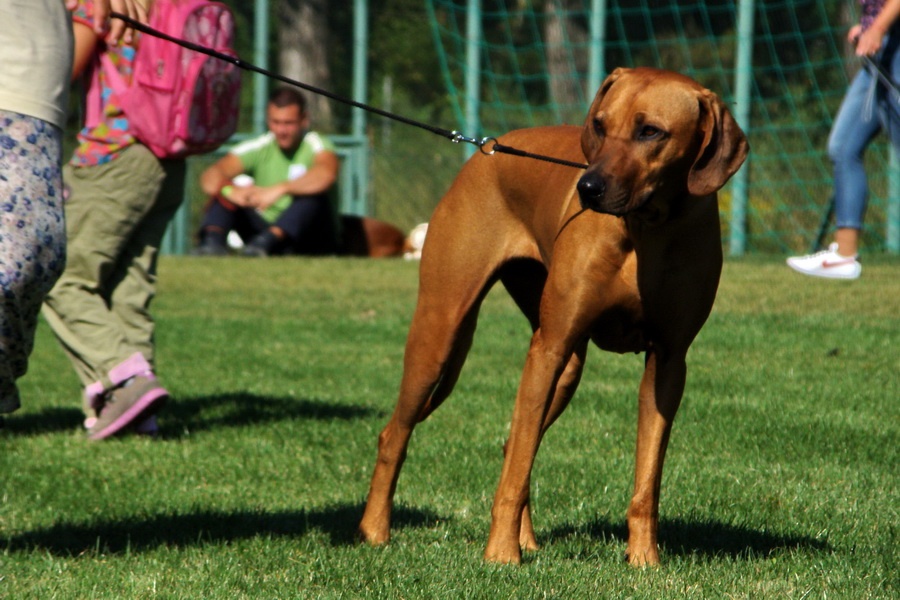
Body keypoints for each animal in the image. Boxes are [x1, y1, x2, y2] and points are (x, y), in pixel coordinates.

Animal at [356, 68, 744, 564]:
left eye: (650, 132)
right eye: (599, 124)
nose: (588, 188)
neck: (647, 227)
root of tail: (487, 148)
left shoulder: (669, 361)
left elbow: (647, 478)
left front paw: (644, 560)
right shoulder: (550, 347)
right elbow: (518, 468)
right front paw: (501, 557)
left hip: (566, 367)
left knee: (512, 444)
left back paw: (527, 538)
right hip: (441, 332)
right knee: (397, 436)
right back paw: (375, 530)